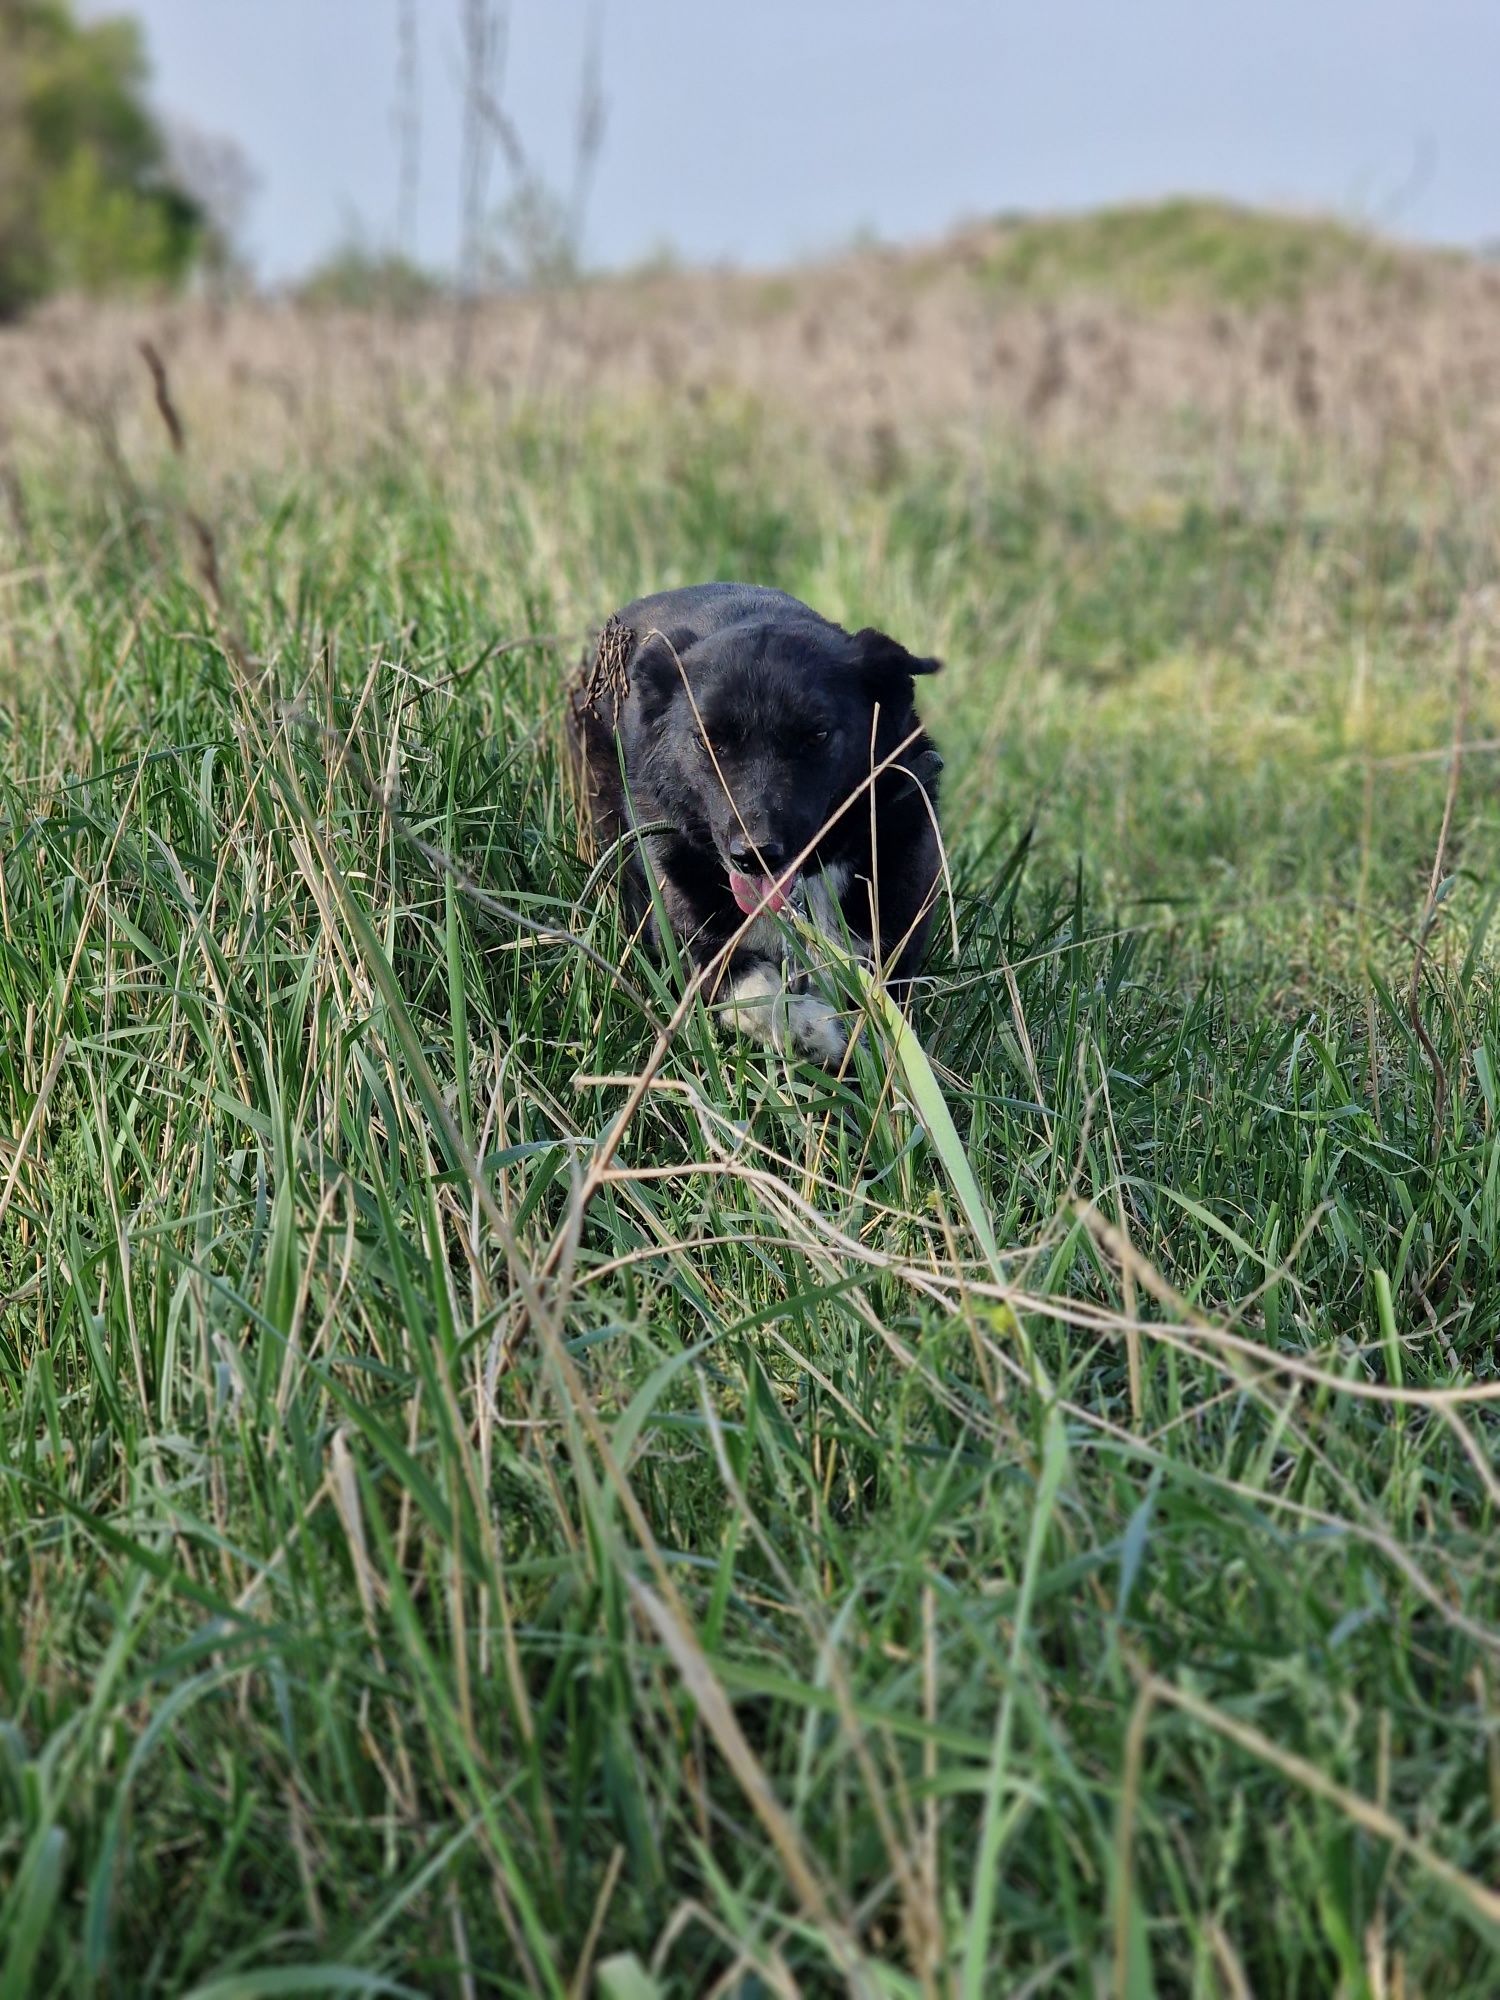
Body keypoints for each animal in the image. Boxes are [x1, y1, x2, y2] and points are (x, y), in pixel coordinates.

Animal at [568, 584, 944, 1064]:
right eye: (708, 739)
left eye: (817, 735)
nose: (754, 856)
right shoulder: (690, 943)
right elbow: (756, 992)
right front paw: (815, 1030)